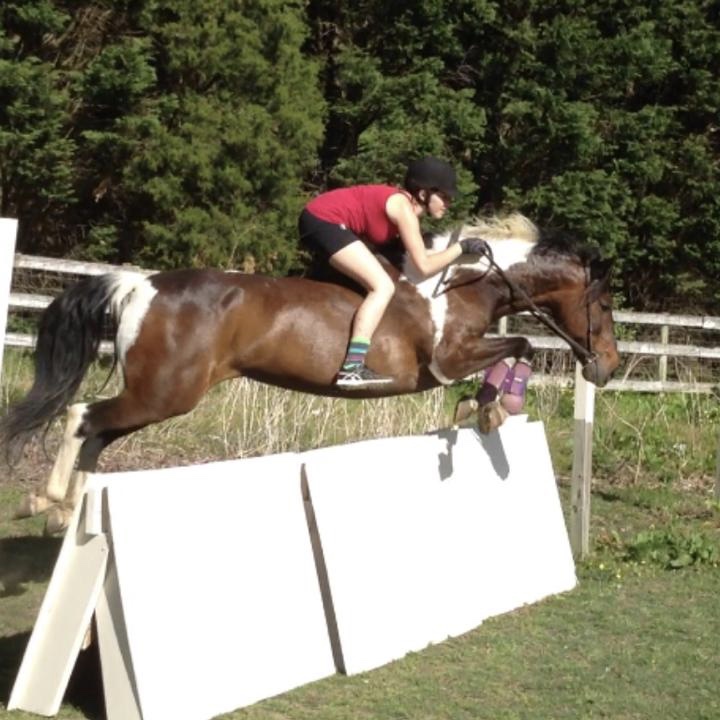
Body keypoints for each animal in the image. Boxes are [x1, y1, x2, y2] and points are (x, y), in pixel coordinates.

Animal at [0, 211, 620, 532]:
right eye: (606, 306)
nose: (609, 369)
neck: (464, 284)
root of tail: (141, 284)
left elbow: (518, 347)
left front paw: (484, 408)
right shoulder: (448, 360)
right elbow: (522, 343)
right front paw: (492, 408)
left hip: (157, 396)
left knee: (98, 433)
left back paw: (65, 513)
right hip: (164, 394)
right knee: (82, 415)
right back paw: (45, 500)